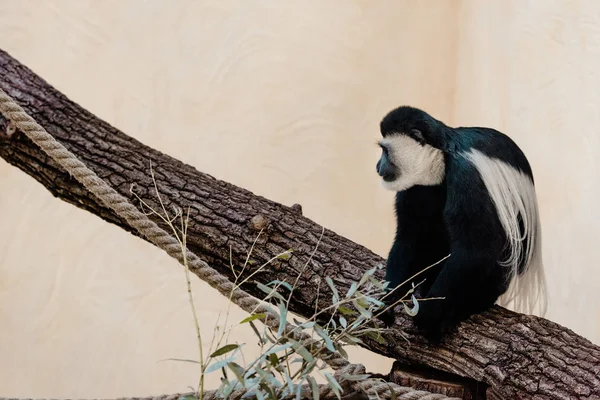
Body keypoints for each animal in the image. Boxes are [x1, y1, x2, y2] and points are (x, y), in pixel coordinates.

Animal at [378, 105, 548, 340]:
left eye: (385, 151)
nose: (378, 166)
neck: (443, 156)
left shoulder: (468, 176)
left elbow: (474, 250)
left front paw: (429, 313)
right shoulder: (417, 186)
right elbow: (410, 236)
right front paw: (388, 300)